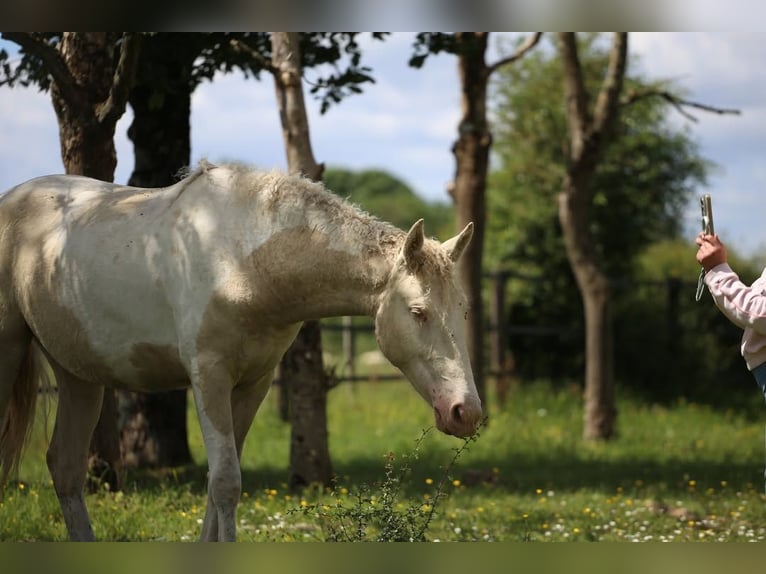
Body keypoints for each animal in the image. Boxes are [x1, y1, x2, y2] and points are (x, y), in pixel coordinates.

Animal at [0, 161, 482, 541]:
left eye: (463, 310)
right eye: (418, 311)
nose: (466, 412)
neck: (244, 260)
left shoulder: (253, 383)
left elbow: (218, 485)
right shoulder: (208, 377)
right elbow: (226, 483)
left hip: (78, 374)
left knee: (65, 468)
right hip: (12, 351)